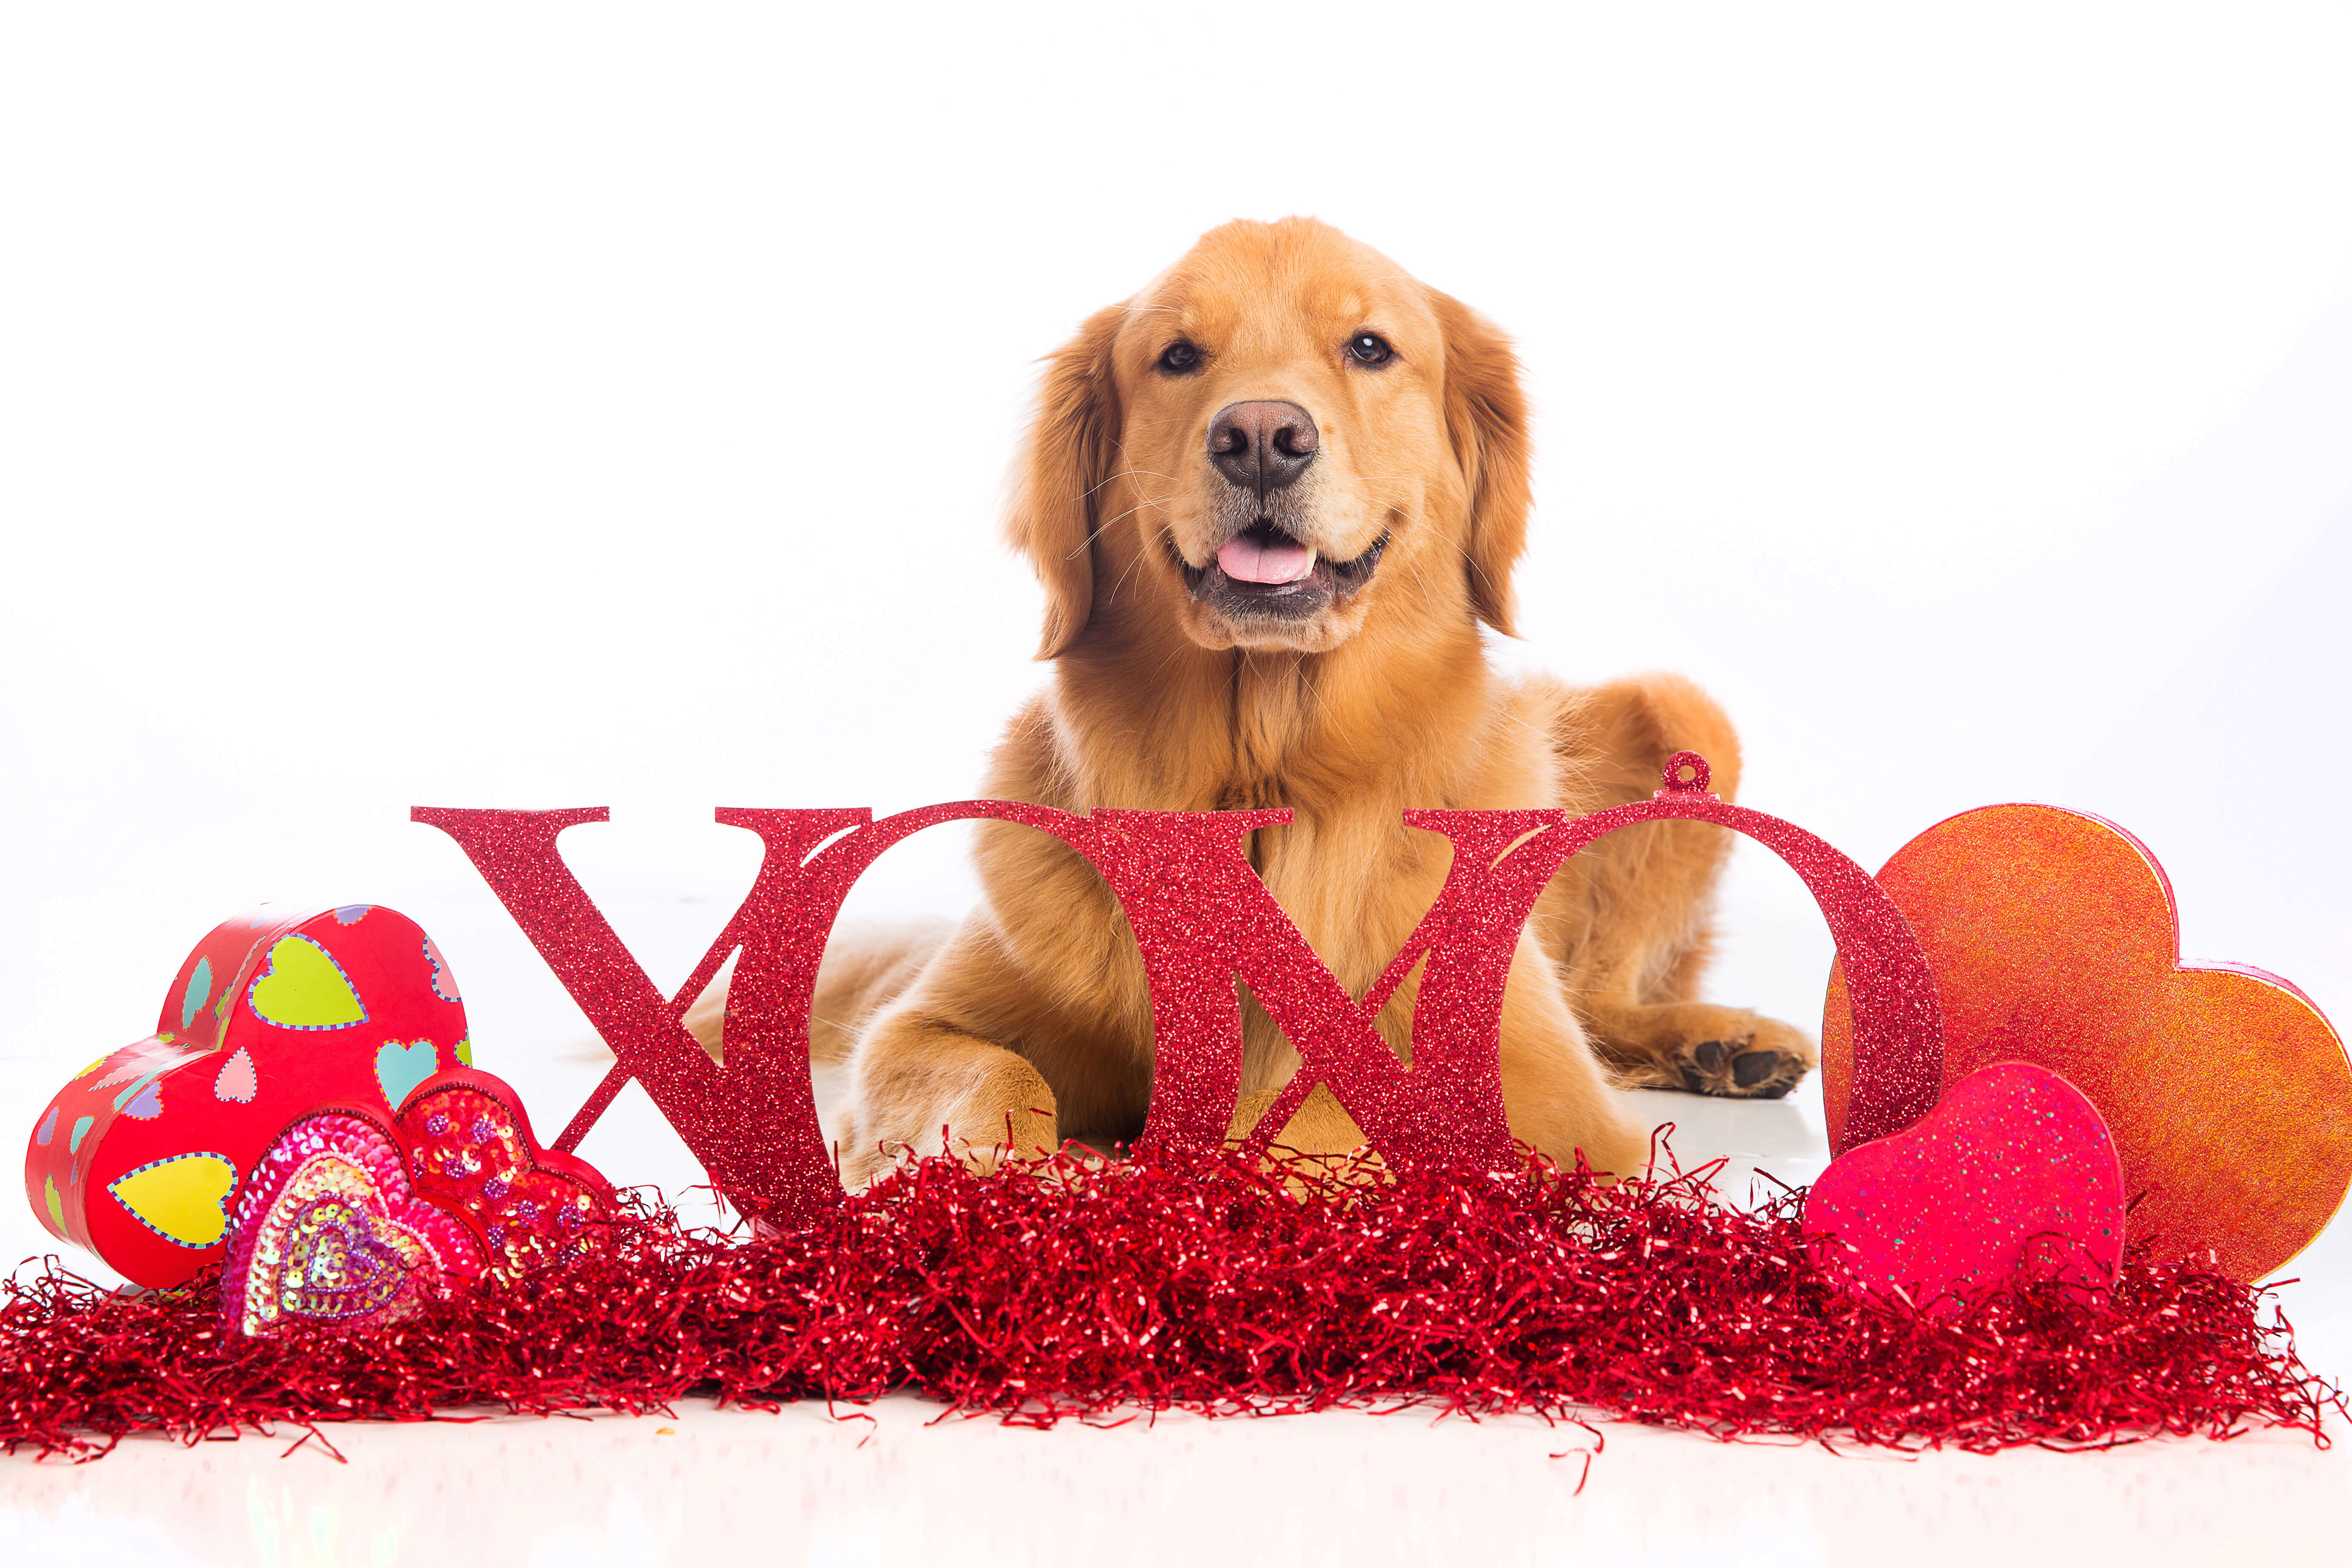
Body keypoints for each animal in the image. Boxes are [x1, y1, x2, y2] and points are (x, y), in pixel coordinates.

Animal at [687, 215, 1816, 1184]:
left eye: (1370, 346)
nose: (1263, 434)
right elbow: (993, 1077)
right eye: (1178, 356)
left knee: (1604, 1002)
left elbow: (1324, 1111)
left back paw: (1724, 1042)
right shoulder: (926, 1024)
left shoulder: (1541, 1092)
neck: (1263, 773)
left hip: (1682, 718)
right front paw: (1018, 1172)